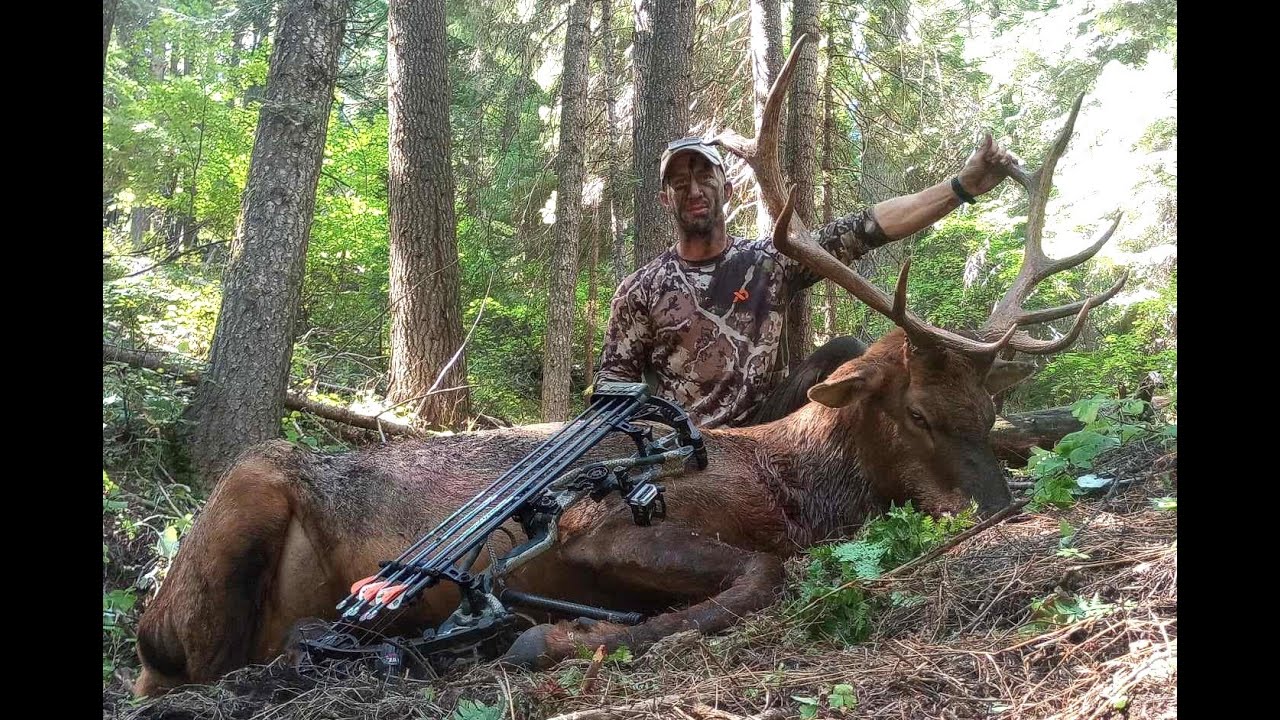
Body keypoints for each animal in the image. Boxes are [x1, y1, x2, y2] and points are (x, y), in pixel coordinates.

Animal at [132, 35, 1126, 697]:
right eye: (918, 411)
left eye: (987, 413)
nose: (1004, 511)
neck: (800, 488)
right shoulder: (601, 528)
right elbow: (766, 575)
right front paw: (544, 642)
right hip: (242, 498)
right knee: (185, 665)